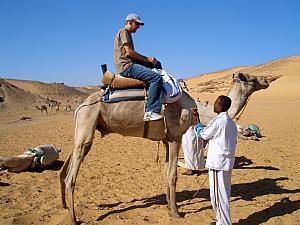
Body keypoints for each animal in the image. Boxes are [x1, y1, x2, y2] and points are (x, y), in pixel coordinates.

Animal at [59, 72, 272, 223]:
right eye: (251, 79)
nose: (267, 80)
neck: (195, 110)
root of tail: (81, 105)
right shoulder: (176, 137)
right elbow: (173, 175)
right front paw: (176, 212)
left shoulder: (166, 139)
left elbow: (166, 172)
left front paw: (169, 207)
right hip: (88, 121)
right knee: (72, 175)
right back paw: (73, 218)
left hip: (82, 127)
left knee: (66, 165)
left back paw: (64, 205)